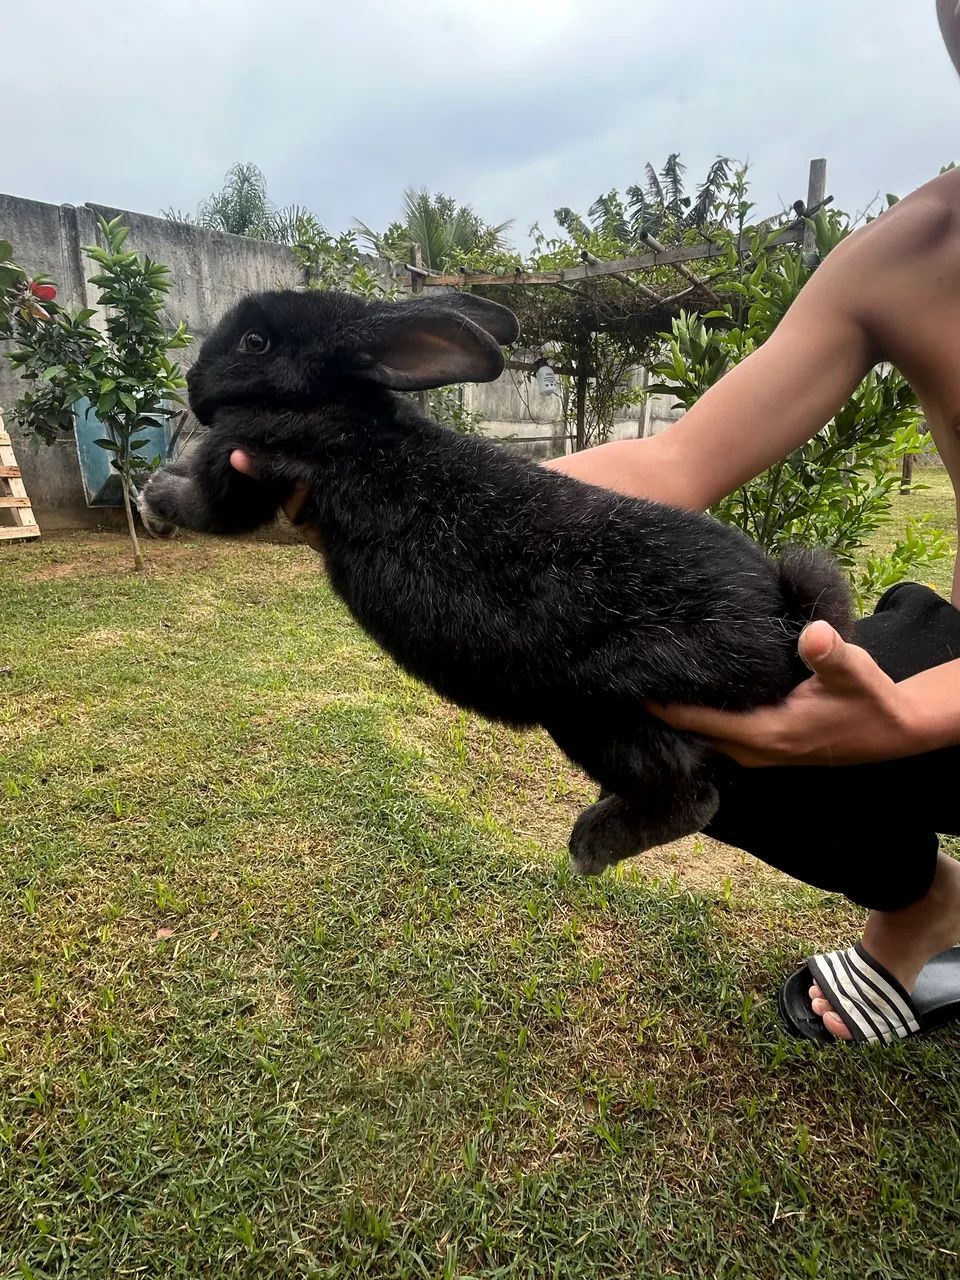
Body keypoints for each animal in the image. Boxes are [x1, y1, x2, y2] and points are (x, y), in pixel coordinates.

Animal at [139, 288, 853, 876]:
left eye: (255, 342)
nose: (191, 382)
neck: (334, 403)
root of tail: (785, 620)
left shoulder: (245, 462)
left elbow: (208, 504)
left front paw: (152, 499)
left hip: (593, 708)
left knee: (691, 794)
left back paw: (590, 845)